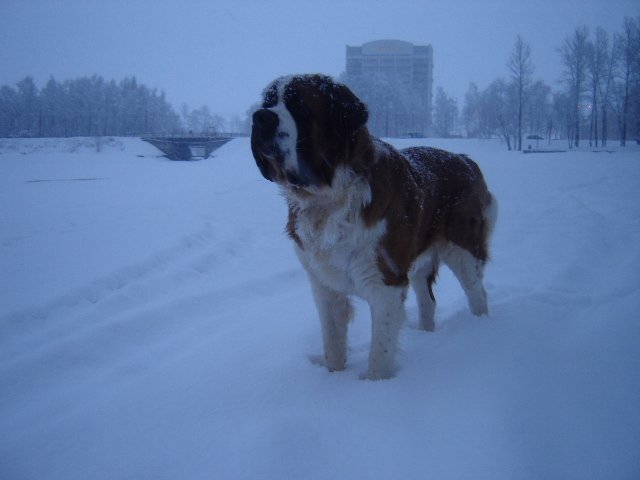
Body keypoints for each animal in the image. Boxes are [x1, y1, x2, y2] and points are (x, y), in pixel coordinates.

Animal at [251, 74, 497, 379]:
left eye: (299, 106)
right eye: (268, 101)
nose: (259, 117)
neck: (329, 199)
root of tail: (466, 159)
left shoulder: (385, 283)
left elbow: (379, 355)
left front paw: (374, 388)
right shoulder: (324, 285)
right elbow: (332, 343)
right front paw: (332, 379)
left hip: (462, 250)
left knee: (477, 293)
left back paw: (479, 330)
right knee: (428, 300)